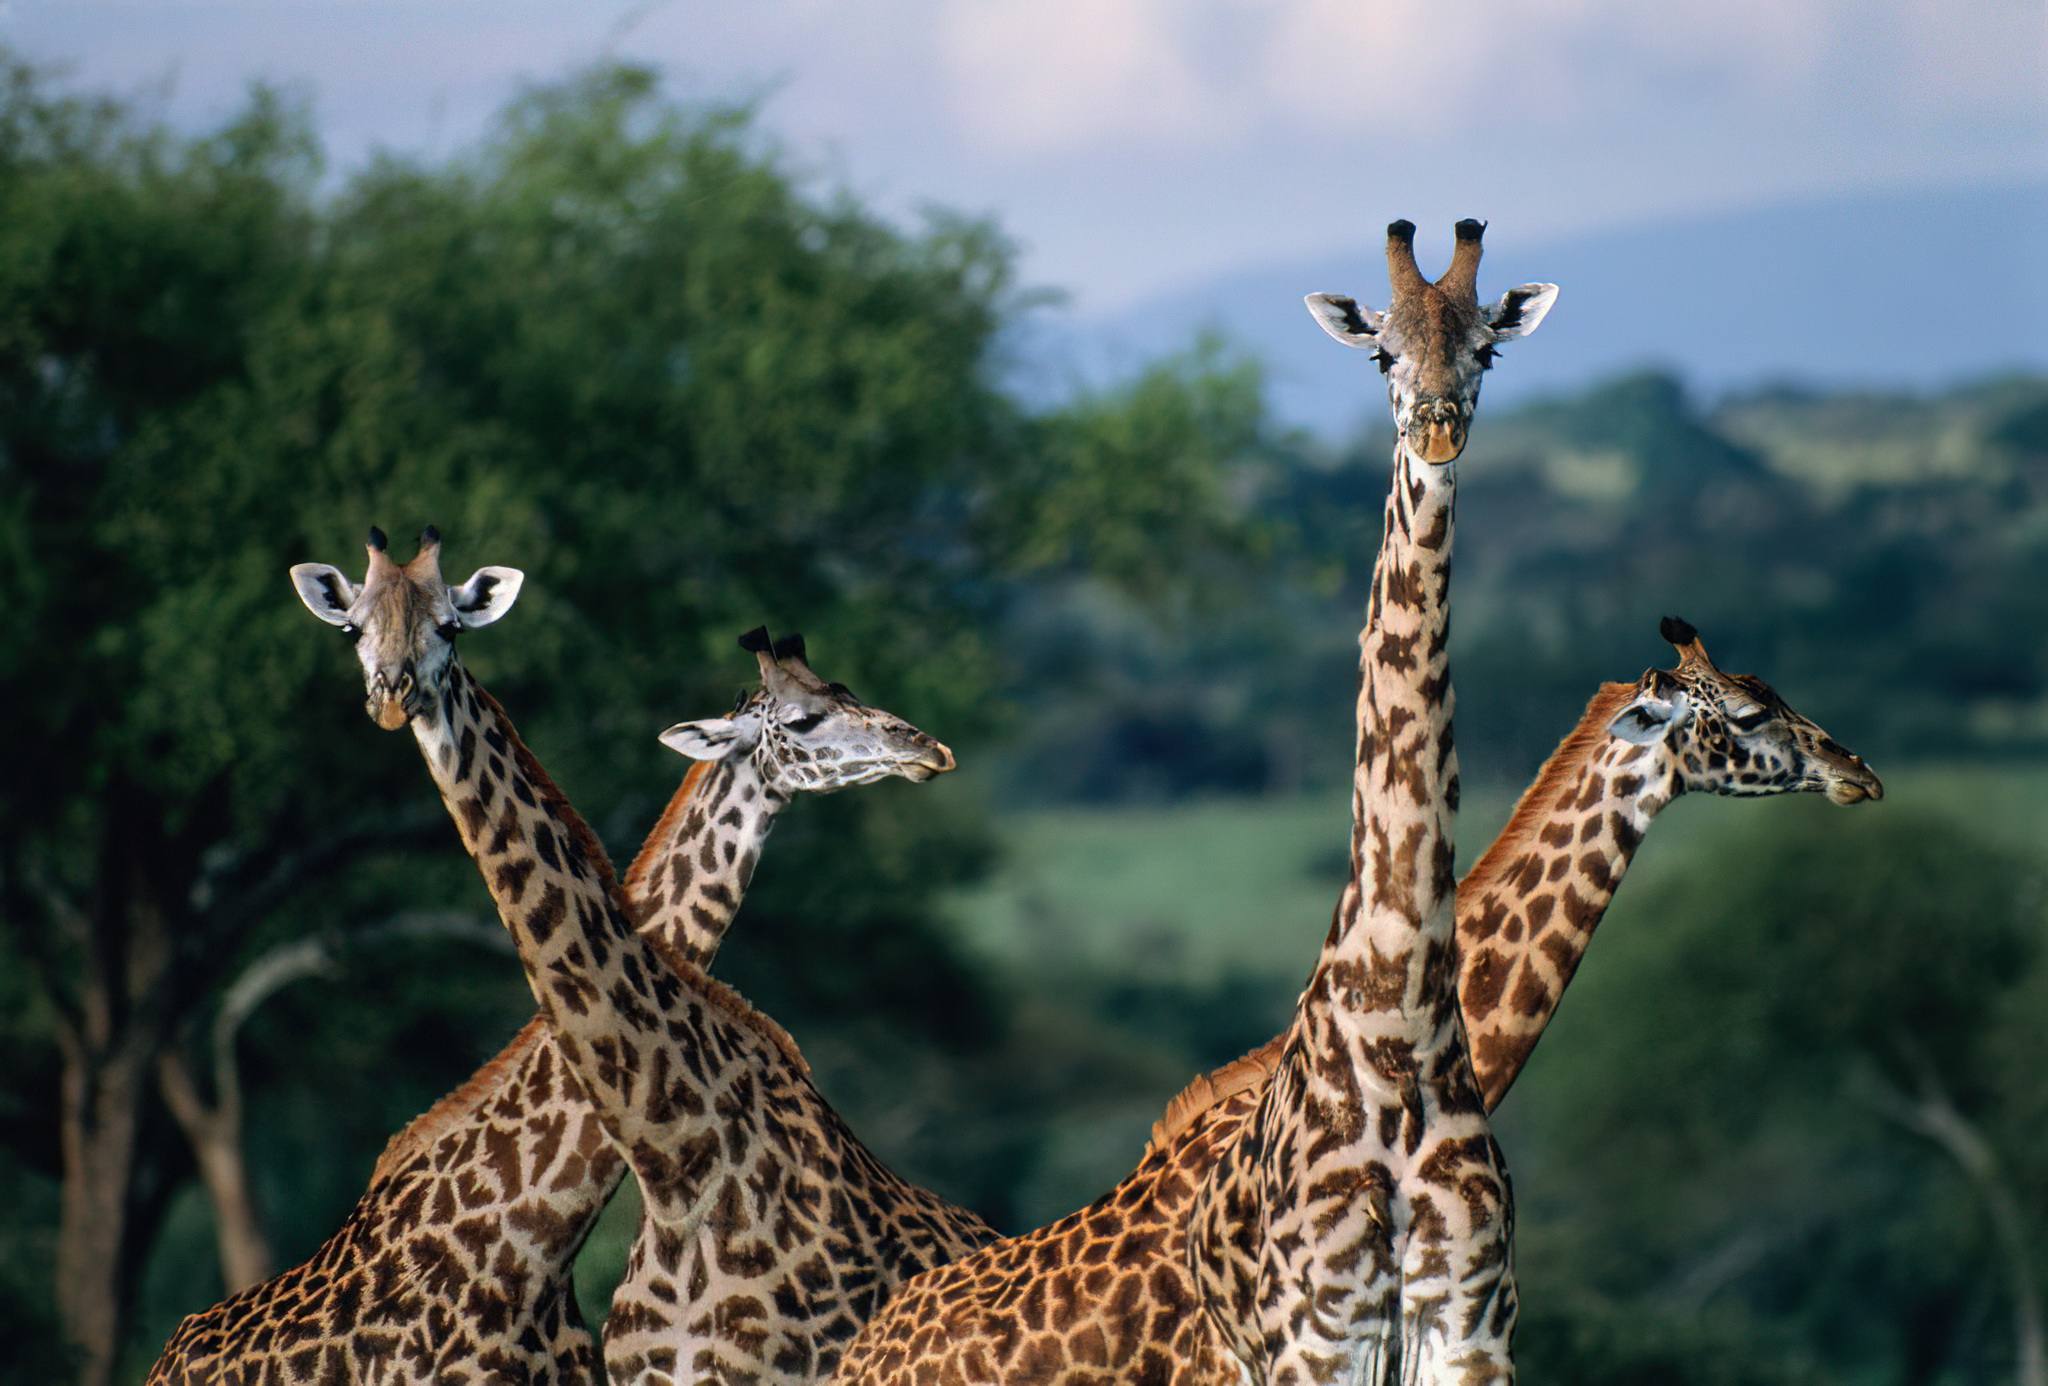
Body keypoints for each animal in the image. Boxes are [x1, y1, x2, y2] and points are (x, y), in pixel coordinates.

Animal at [834, 219, 1558, 1385]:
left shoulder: (1471, 1326)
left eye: (1483, 350)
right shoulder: (1317, 1339)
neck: (1399, 1028)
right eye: (1380, 355)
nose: (1439, 434)